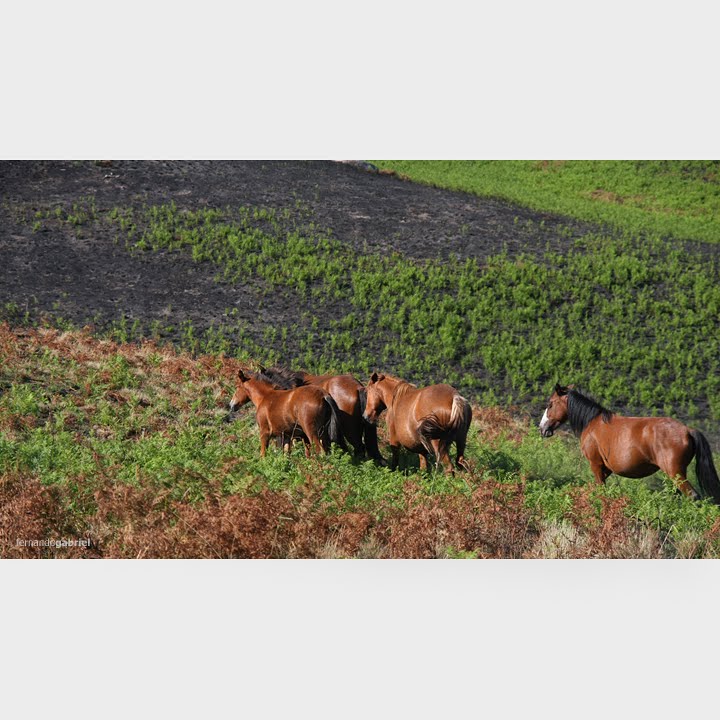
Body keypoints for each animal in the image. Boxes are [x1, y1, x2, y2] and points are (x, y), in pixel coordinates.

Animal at [536, 386, 720, 504]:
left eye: (550, 403)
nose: (542, 428)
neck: (593, 423)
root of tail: (688, 430)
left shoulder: (596, 465)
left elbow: (601, 490)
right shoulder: (606, 469)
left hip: (676, 473)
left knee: (693, 496)